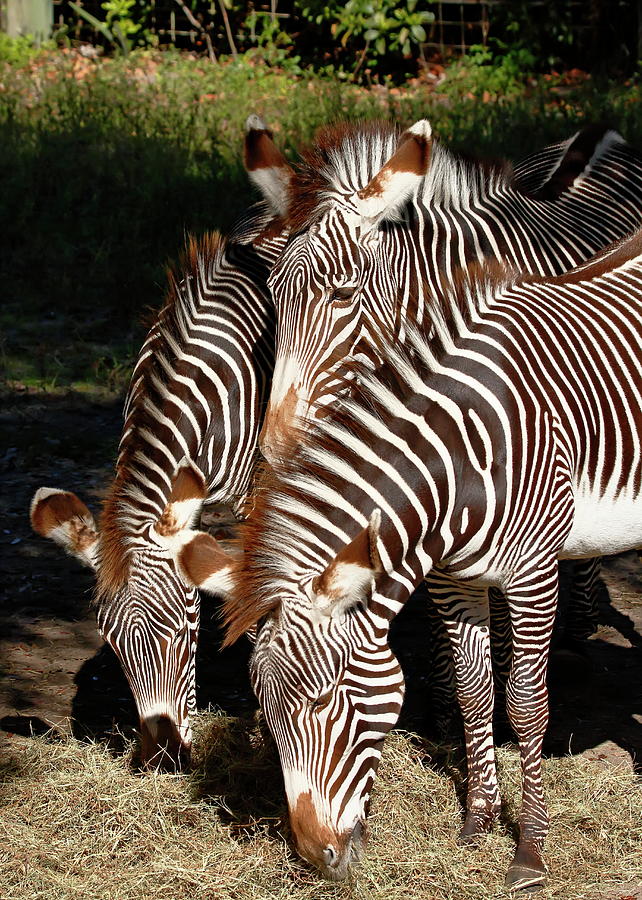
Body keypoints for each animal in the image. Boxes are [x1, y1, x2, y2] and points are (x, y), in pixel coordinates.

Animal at [166, 227, 642, 892]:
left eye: (324, 700)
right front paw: (477, 825)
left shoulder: (534, 574)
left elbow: (524, 707)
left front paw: (528, 853)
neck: (457, 465)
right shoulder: (453, 579)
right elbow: (473, 693)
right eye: (268, 717)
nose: (315, 857)